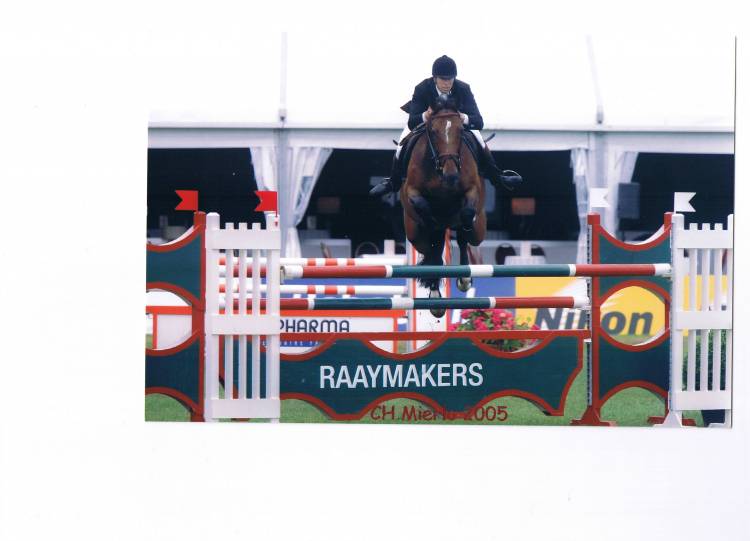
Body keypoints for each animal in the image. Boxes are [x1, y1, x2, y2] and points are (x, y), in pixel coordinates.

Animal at [400, 96, 485, 318]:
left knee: (465, 238)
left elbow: (466, 215)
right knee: (432, 252)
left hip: (479, 231)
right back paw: (436, 299)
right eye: (433, 130)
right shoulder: (412, 191)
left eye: (460, 130)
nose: (451, 175)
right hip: (414, 236)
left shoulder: (472, 190)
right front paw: (433, 222)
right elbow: (425, 211)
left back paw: (464, 280)